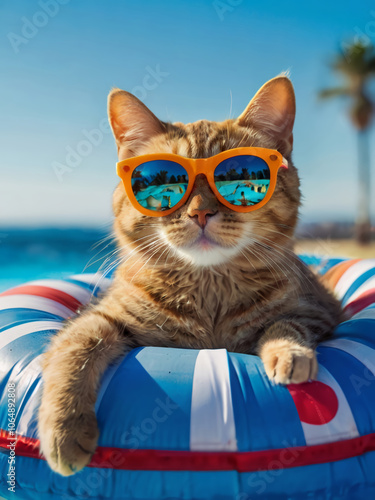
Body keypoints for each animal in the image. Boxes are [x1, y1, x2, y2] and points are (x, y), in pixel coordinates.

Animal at [37, 75, 344, 476]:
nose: (200, 213)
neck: (209, 289)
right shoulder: (103, 317)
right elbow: (76, 346)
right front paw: (65, 427)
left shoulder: (320, 311)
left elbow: (286, 322)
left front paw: (288, 351)